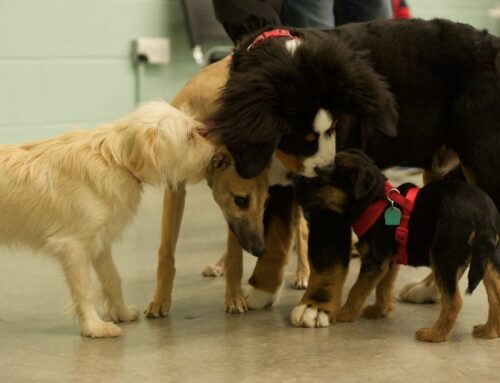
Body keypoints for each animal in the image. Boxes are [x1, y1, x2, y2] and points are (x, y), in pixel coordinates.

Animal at [0, 100, 213, 338]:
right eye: (190, 136)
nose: (215, 153)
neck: (113, 160)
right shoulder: (72, 247)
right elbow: (85, 290)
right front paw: (94, 327)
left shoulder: (101, 244)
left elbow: (112, 279)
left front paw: (122, 312)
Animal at [292, 149, 500, 342]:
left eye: (316, 181)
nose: (293, 181)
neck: (375, 203)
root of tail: (483, 216)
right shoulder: (389, 260)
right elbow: (383, 286)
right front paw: (379, 310)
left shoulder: (374, 261)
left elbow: (357, 289)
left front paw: (344, 313)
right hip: (485, 260)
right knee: (495, 294)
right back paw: (489, 331)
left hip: (443, 258)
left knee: (454, 302)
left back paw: (434, 335)